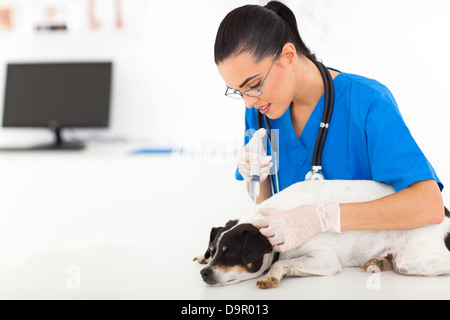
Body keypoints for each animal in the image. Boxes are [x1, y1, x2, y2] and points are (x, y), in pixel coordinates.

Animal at [193, 180, 450, 288]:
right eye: (214, 251)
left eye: (231, 253)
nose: (204, 274)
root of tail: (445, 211)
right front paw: (201, 256)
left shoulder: (325, 259)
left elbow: (279, 264)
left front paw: (272, 276)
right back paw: (377, 261)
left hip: (410, 258)